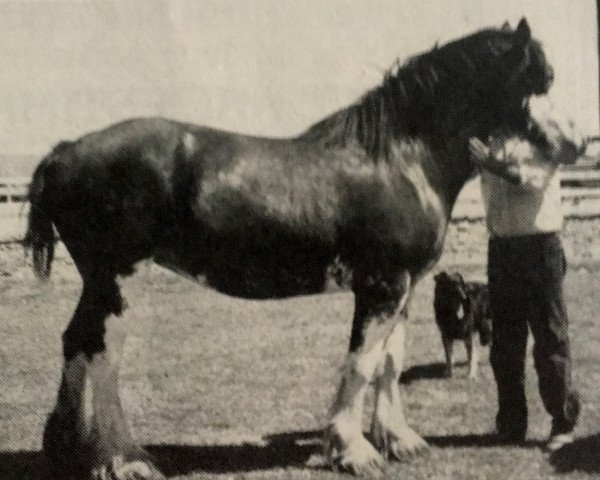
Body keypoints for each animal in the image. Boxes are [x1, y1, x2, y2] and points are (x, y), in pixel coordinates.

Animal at [23, 18, 576, 480]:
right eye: (537, 80)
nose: (572, 145)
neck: (400, 159)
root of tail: (65, 152)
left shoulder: (405, 287)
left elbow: (389, 362)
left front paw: (399, 440)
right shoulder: (380, 285)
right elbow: (361, 363)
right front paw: (353, 450)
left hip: (102, 283)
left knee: (76, 342)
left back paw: (69, 448)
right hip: (117, 279)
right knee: (102, 354)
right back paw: (123, 459)